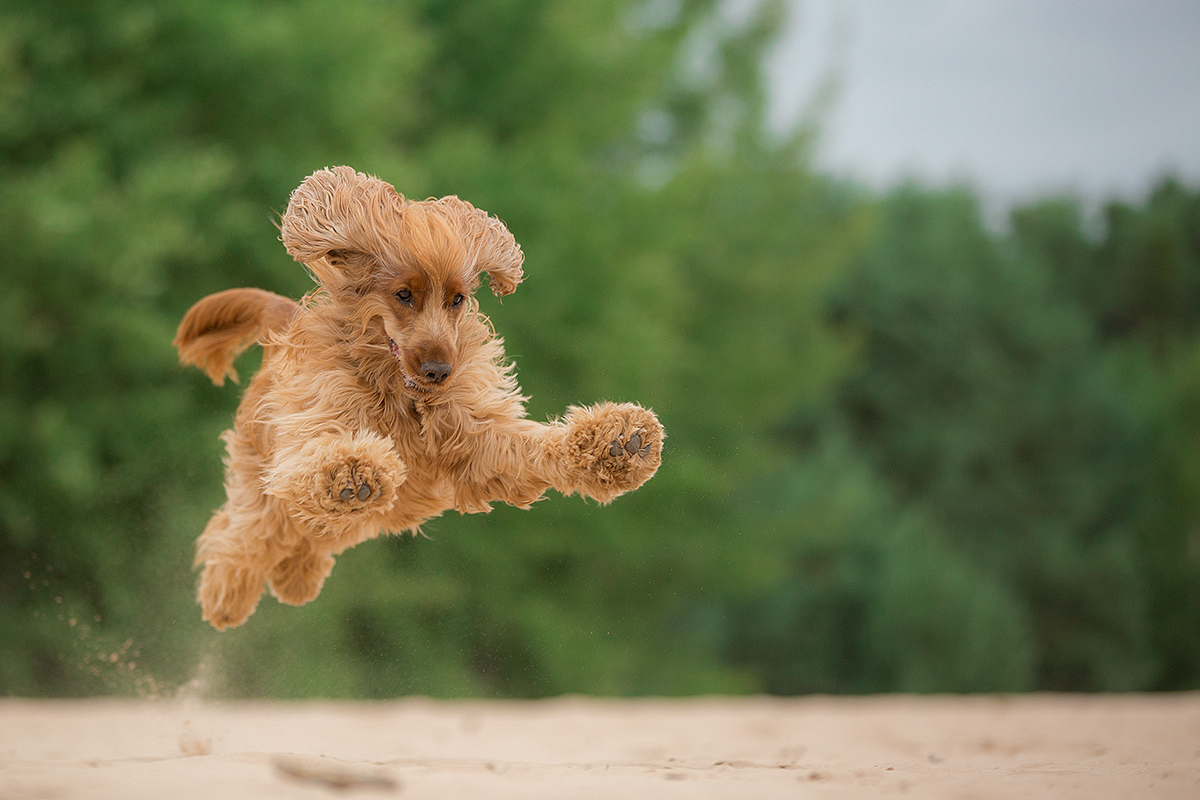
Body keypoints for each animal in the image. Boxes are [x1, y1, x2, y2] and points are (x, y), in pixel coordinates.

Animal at [175, 167, 667, 633]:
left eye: (457, 299)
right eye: (403, 294)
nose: (438, 370)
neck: (399, 396)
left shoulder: (477, 441)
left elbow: (530, 445)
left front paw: (620, 442)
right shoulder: (312, 427)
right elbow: (320, 456)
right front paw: (351, 472)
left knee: (305, 537)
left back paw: (297, 578)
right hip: (258, 486)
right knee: (244, 534)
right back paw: (226, 598)